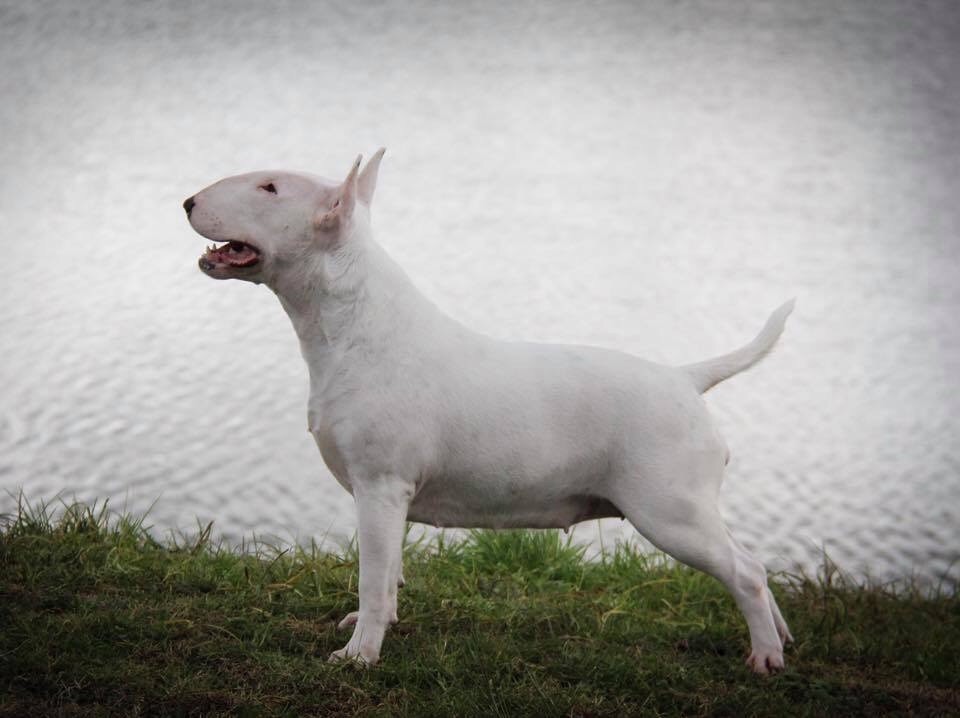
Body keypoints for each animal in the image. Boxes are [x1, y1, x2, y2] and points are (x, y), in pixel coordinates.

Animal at [186, 150, 796, 676]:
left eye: (270, 188)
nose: (188, 201)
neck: (355, 324)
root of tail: (686, 378)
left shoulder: (379, 487)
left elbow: (372, 577)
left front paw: (358, 656)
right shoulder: (390, 499)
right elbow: (389, 575)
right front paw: (375, 627)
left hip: (668, 511)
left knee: (744, 572)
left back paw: (766, 657)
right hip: (691, 505)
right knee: (753, 563)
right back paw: (783, 638)